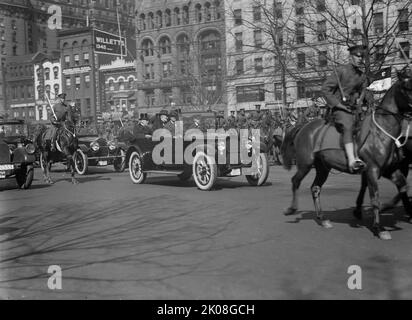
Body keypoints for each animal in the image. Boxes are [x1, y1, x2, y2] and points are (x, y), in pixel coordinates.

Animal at [282, 67, 412, 241]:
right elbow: (375, 198)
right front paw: (378, 228)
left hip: (323, 168)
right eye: (405, 88)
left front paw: (388, 208)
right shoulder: (372, 170)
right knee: (295, 181)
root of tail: (304, 126)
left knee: (315, 188)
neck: (382, 131)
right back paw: (292, 208)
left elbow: (403, 186)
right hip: (305, 164)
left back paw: (322, 219)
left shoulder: (390, 170)